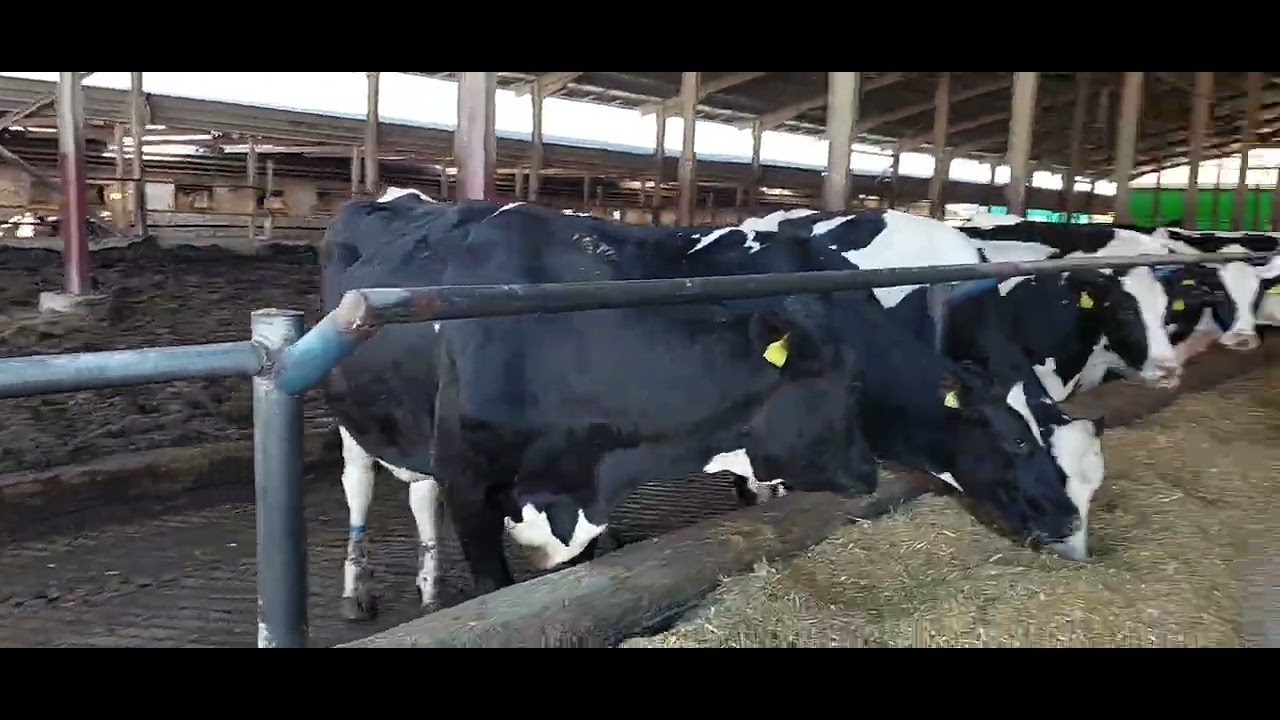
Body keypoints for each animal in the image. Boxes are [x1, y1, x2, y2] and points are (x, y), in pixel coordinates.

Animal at [320, 190, 880, 621]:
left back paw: (431, 589)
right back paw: (357, 593)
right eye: (846, 386)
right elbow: (492, 588)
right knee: (359, 486)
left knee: (421, 494)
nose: (871, 472)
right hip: (354, 421)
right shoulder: (469, 485)